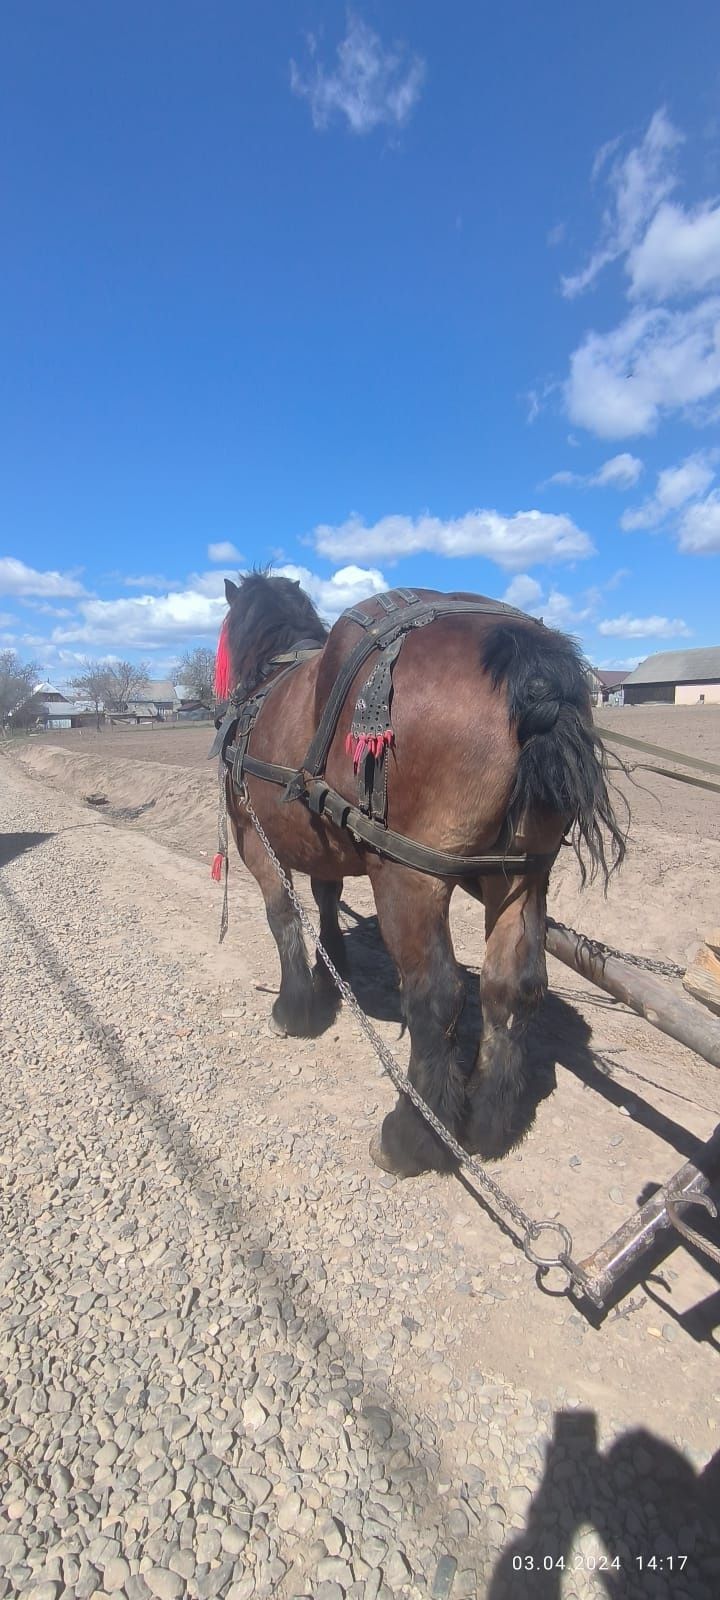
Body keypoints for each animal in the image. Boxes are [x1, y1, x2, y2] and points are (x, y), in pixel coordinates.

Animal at [214, 572, 624, 1177]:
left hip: (408, 874)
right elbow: (326, 898)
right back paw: (489, 1122)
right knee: (512, 986)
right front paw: (332, 970)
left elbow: (283, 917)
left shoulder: (254, 838)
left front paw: (295, 1008)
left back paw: (411, 1135)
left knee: (436, 997)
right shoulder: (326, 846)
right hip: (520, 875)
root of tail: (532, 670)